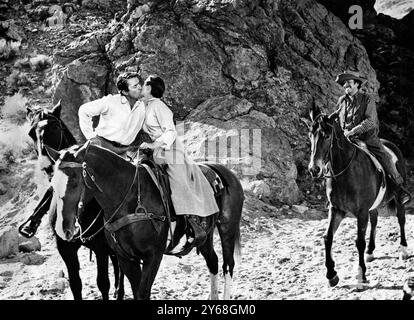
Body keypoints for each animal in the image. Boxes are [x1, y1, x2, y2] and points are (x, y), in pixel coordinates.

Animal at [20, 102, 120, 300]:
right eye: (31, 133)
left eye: (55, 127)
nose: (46, 166)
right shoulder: (65, 249)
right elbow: (75, 284)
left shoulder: (101, 247)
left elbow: (103, 282)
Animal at [47, 142, 244, 300]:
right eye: (52, 185)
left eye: (74, 182)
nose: (62, 228)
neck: (130, 197)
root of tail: (225, 173)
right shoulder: (125, 258)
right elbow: (135, 291)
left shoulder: (153, 256)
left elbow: (142, 292)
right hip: (205, 237)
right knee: (213, 261)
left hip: (227, 228)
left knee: (228, 265)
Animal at [308, 104, 408, 288]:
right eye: (310, 135)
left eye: (326, 136)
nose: (314, 169)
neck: (346, 171)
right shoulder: (336, 210)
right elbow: (327, 237)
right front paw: (331, 274)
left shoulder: (361, 212)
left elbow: (359, 242)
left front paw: (361, 275)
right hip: (373, 206)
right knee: (375, 219)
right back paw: (370, 252)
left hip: (398, 199)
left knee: (401, 219)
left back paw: (403, 250)